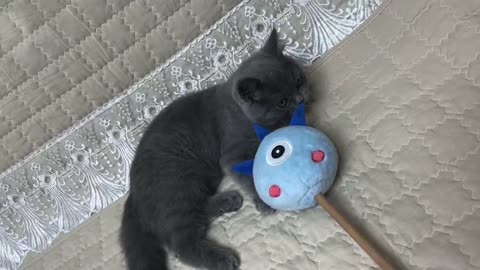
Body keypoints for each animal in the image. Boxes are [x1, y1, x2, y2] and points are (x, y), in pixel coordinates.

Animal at [120, 29, 308, 270]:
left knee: (197, 212)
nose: (301, 98)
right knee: (182, 244)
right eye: (282, 102)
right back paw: (223, 259)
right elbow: (248, 174)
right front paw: (263, 201)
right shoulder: (233, 153)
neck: (240, 111)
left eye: (299, 80)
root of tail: (133, 196)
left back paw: (229, 201)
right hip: (178, 185)